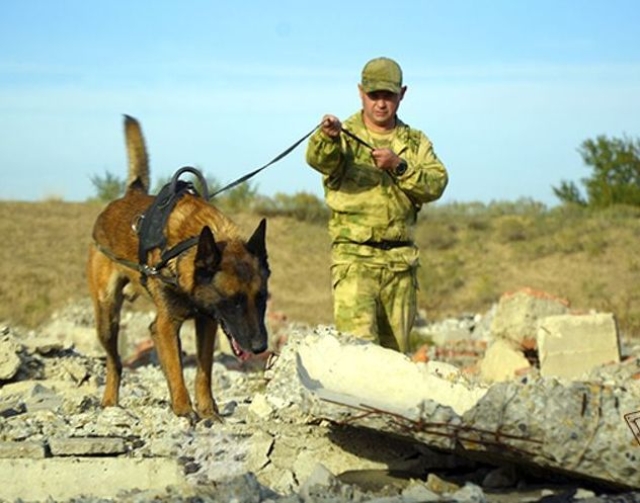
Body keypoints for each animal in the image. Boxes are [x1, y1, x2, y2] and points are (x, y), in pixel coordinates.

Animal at [86, 115, 268, 422]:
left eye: (263, 299)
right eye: (234, 302)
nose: (259, 347)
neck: (189, 247)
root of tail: (129, 195)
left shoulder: (207, 323)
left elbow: (204, 372)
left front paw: (208, 410)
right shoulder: (165, 326)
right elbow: (176, 371)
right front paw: (184, 410)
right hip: (107, 319)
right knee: (115, 362)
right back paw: (110, 401)